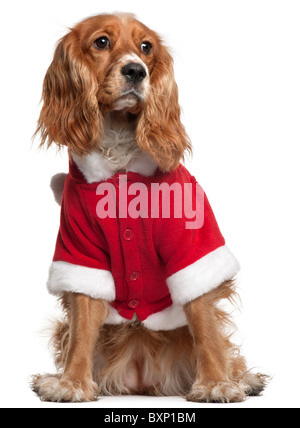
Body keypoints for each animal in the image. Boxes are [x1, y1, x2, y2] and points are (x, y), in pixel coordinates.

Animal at [31, 12, 268, 402]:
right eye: (101, 42)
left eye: (146, 48)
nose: (136, 71)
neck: (120, 158)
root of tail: (142, 377)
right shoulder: (80, 251)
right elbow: (81, 328)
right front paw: (72, 383)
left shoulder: (191, 245)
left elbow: (204, 323)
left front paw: (215, 383)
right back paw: (53, 376)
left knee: (221, 341)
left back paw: (243, 378)